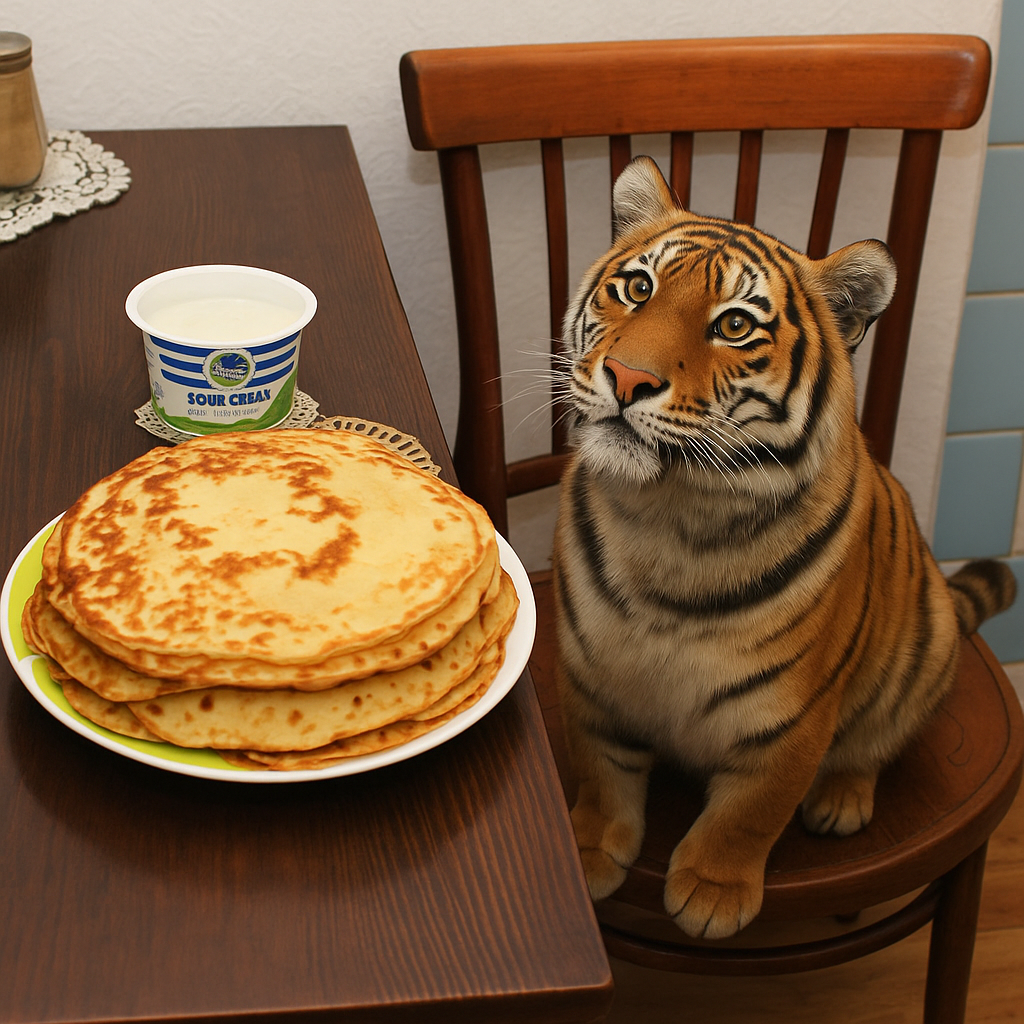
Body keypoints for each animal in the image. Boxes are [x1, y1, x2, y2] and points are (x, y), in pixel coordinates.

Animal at [552, 155, 1016, 941]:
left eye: (735, 325)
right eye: (638, 287)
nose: (629, 378)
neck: (667, 514)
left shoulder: (791, 717)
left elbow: (751, 811)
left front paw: (712, 895)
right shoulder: (590, 680)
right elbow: (601, 773)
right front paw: (588, 857)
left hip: (924, 655)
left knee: (877, 743)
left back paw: (841, 799)